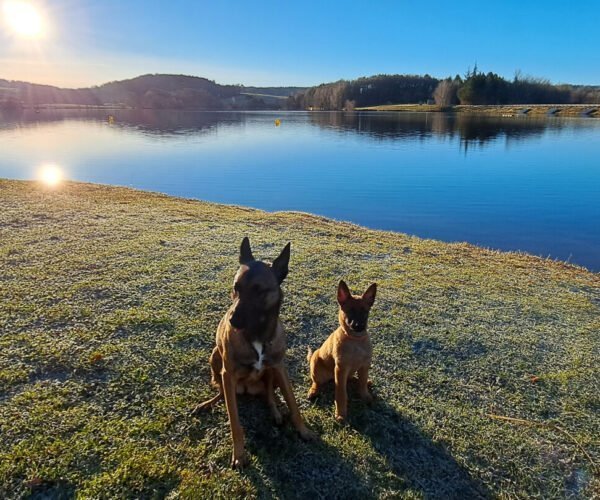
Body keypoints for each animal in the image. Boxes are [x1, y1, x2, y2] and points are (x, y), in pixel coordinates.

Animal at [193, 238, 316, 468]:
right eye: (236, 287)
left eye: (259, 290)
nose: (232, 320)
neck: (257, 336)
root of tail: (247, 390)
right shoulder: (228, 374)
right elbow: (235, 422)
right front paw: (239, 454)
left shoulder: (279, 368)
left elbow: (293, 405)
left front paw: (304, 431)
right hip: (215, 358)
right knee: (222, 393)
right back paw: (207, 404)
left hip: (271, 375)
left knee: (269, 394)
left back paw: (275, 412)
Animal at [308, 282, 378, 422]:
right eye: (350, 310)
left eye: (365, 311)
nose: (359, 326)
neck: (355, 340)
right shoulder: (341, 369)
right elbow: (341, 393)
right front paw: (341, 413)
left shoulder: (365, 365)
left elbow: (362, 383)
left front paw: (365, 395)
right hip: (316, 361)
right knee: (316, 382)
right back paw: (313, 391)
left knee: (356, 379)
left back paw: (362, 381)